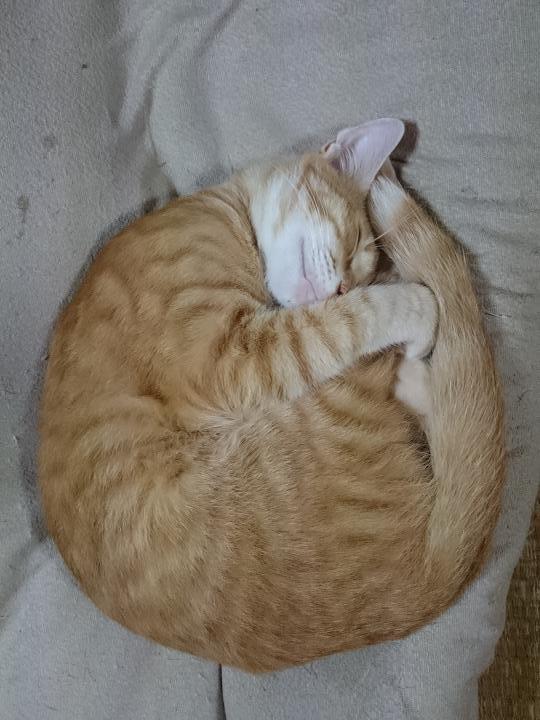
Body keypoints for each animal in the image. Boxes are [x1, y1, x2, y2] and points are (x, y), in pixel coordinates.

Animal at [38, 119, 505, 672]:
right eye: (354, 245)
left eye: (357, 271)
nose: (342, 289)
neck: (228, 209)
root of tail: (422, 590)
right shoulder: (229, 358)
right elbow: (362, 317)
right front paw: (416, 308)